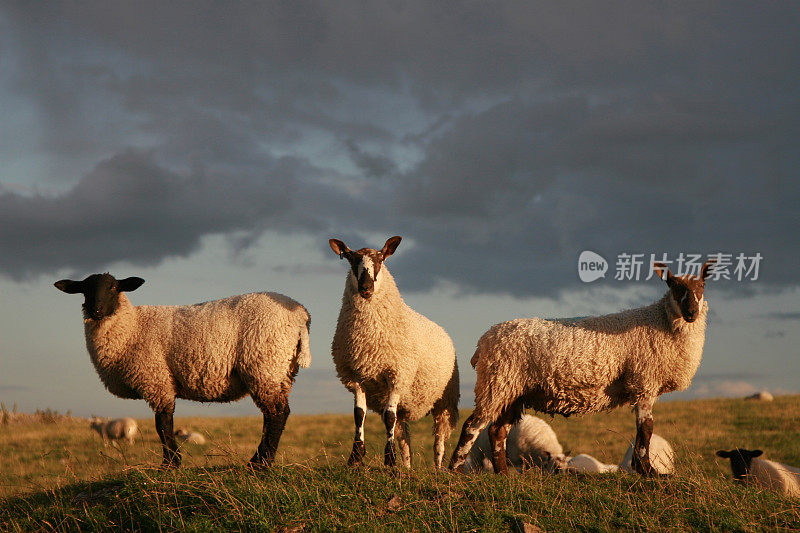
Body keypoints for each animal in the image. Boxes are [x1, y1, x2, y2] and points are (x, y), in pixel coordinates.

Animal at [54, 272, 310, 468]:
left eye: (114, 287)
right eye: (84, 290)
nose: (96, 310)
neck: (133, 326)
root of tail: (301, 314)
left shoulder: (155, 379)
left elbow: (162, 424)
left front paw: (170, 464)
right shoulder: (160, 382)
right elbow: (163, 424)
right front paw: (172, 462)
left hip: (263, 364)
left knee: (277, 414)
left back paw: (260, 464)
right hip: (281, 369)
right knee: (274, 415)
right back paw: (261, 460)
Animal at [328, 235, 460, 468]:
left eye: (381, 259)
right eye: (351, 259)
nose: (366, 288)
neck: (368, 339)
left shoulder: (397, 376)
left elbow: (389, 417)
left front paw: (389, 460)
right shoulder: (356, 377)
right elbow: (359, 415)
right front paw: (355, 457)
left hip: (446, 400)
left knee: (439, 438)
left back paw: (437, 467)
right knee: (404, 436)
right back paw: (406, 466)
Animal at [446, 260, 716, 476]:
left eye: (701, 286)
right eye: (674, 285)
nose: (692, 312)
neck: (660, 320)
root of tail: (484, 340)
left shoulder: (646, 383)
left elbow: (645, 429)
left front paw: (645, 469)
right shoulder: (644, 380)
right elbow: (646, 428)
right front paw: (647, 471)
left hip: (513, 391)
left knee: (497, 431)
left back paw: (502, 474)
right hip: (497, 382)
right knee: (473, 426)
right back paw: (455, 470)